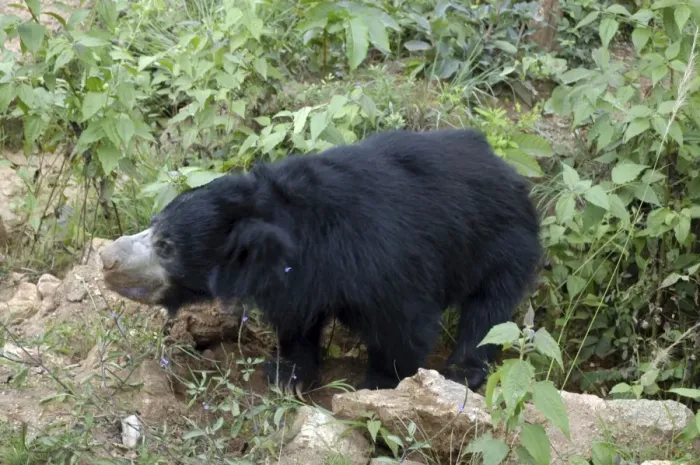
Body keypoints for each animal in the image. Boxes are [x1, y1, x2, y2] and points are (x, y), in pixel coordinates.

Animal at [99, 128, 542, 398]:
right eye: (153, 224)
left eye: (167, 245)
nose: (107, 258)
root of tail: (511, 172)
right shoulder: (299, 280)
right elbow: (298, 323)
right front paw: (288, 377)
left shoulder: (380, 263)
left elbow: (405, 327)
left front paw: (378, 386)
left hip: (503, 244)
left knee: (487, 313)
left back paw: (463, 372)